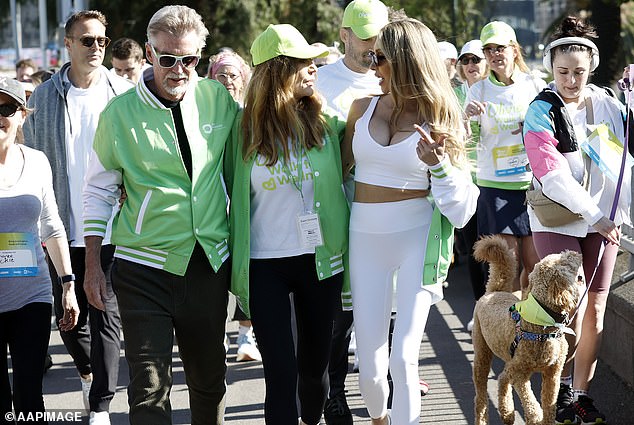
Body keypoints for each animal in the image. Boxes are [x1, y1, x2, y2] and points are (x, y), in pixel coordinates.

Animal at [470, 235, 576, 424]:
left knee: (502, 377)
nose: (575, 252)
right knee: (481, 394)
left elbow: (550, 404)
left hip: (509, 360)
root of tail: (494, 291)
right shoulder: (520, 374)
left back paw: (507, 413)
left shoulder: (553, 373)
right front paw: (535, 417)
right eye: (564, 261)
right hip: (482, 351)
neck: (543, 324)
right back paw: (484, 418)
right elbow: (531, 402)